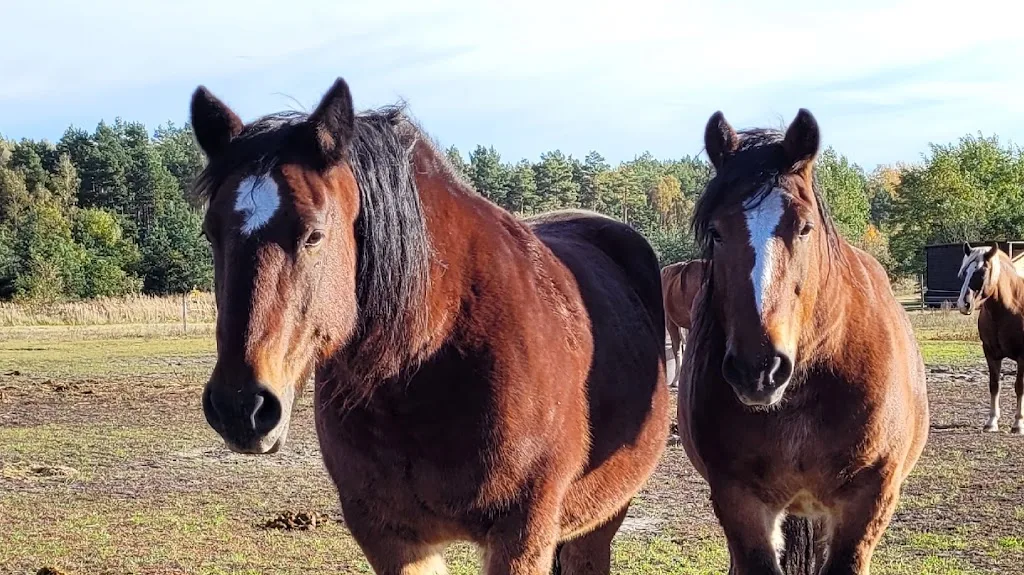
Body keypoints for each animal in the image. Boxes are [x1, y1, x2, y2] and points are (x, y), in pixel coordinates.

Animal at [189, 77, 671, 575]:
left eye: (314, 234)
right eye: (211, 232)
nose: (240, 406)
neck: (424, 363)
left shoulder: (523, 534)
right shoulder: (390, 536)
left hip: (602, 518)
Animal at [957, 242, 1024, 435]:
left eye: (982, 272)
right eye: (964, 272)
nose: (963, 304)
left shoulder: (1022, 356)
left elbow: (1019, 387)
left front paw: (1018, 424)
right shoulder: (990, 353)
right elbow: (994, 385)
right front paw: (991, 422)